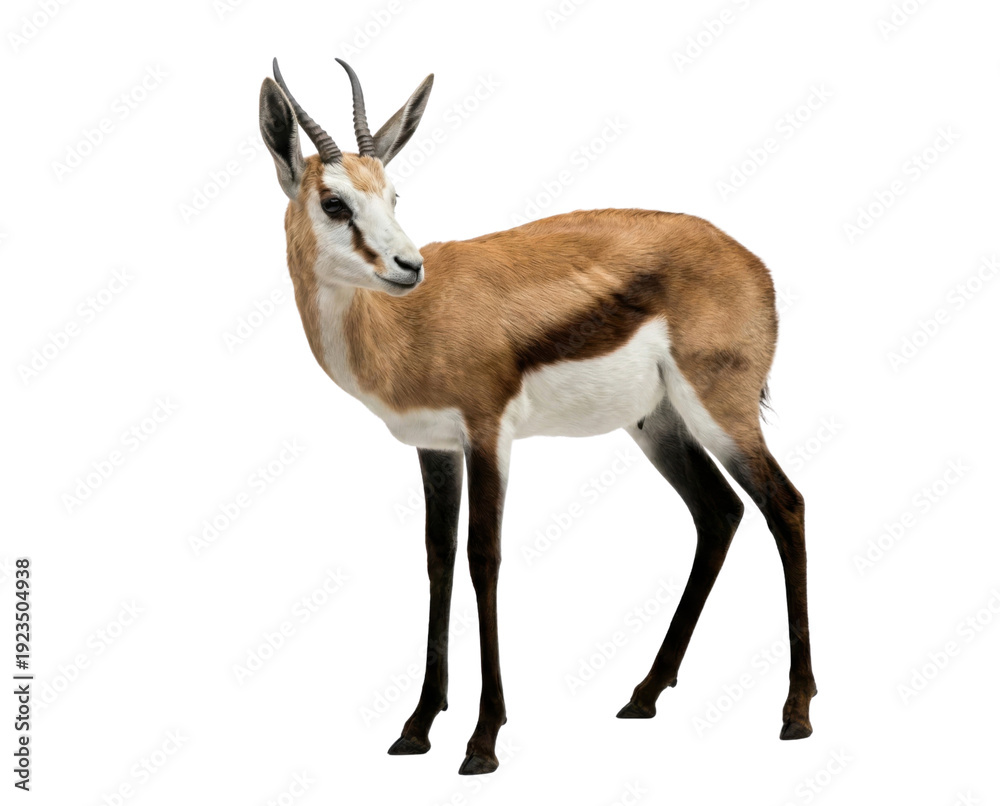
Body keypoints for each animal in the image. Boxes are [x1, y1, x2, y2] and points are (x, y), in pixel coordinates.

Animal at [258, 58, 817, 775]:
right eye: (335, 202)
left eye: (393, 197)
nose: (409, 267)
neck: (407, 327)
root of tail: (750, 260)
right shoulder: (437, 447)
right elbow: (438, 559)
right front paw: (417, 727)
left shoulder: (488, 434)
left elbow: (483, 558)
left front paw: (483, 740)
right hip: (658, 423)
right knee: (719, 512)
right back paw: (644, 694)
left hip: (721, 412)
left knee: (785, 504)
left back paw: (796, 712)